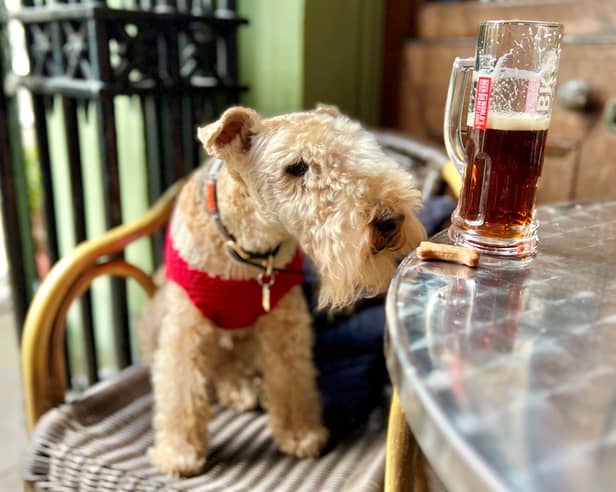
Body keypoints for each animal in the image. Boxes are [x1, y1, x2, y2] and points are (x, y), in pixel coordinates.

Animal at [138, 104, 428, 476]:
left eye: (356, 150)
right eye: (297, 167)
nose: (390, 219)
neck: (250, 250)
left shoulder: (284, 322)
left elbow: (290, 378)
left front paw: (300, 435)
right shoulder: (186, 326)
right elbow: (181, 387)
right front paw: (179, 454)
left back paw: (242, 391)